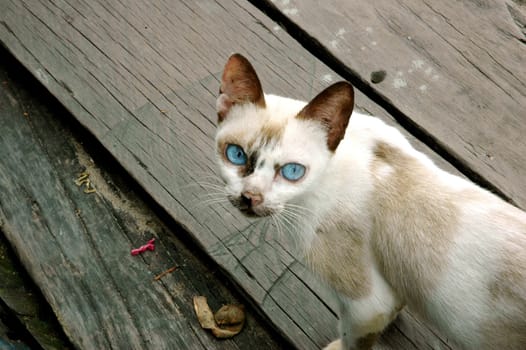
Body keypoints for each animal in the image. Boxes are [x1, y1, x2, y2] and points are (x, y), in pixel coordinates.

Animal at [214, 53, 526, 348]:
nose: (250, 197)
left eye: (292, 171)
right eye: (236, 155)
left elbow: (352, 339)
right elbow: (396, 302)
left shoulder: (366, 307)